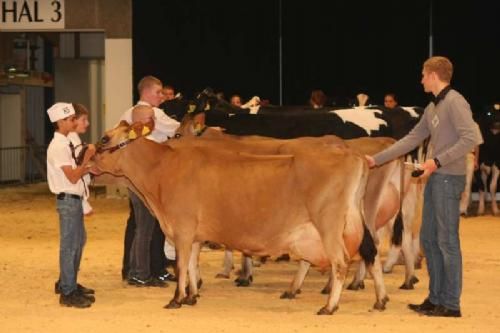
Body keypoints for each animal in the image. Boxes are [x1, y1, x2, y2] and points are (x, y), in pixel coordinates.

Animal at [94, 120, 390, 314]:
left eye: (105, 139)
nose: (88, 154)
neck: (161, 171)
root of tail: (352, 153)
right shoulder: (195, 234)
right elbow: (192, 265)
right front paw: (192, 296)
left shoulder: (182, 229)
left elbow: (181, 265)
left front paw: (176, 299)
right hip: (354, 220)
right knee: (370, 252)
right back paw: (379, 299)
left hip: (328, 224)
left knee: (340, 263)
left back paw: (329, 306)